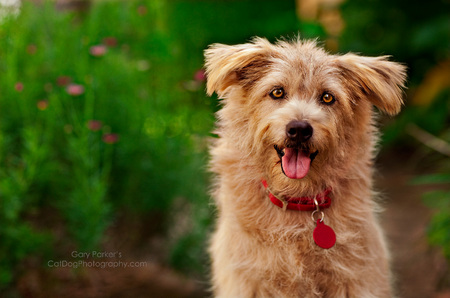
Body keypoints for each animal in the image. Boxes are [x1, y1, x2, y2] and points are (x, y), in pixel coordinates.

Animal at [205, 37, 408, 298]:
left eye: (328, 97)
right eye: (277, 92)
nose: (299, 129)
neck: (297, 200)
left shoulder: (358, 279)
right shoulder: (246, 280)